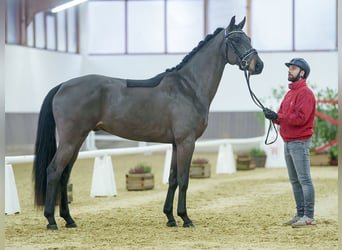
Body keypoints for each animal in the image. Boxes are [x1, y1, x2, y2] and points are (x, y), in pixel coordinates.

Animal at [32, 16, 262, 230]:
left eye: (249, 39)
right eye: (236, 40)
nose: (258, 65)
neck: (188, 87)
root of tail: (63, 85)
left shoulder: (176, 144)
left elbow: (173, 179)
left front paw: (170, 217)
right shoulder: (187, 142)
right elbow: (184, 179)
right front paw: (185, 218)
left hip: (78, 140)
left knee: (64, 175)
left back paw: (69, 219)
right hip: (71, 139)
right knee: (54, 171)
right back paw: (51, 220)